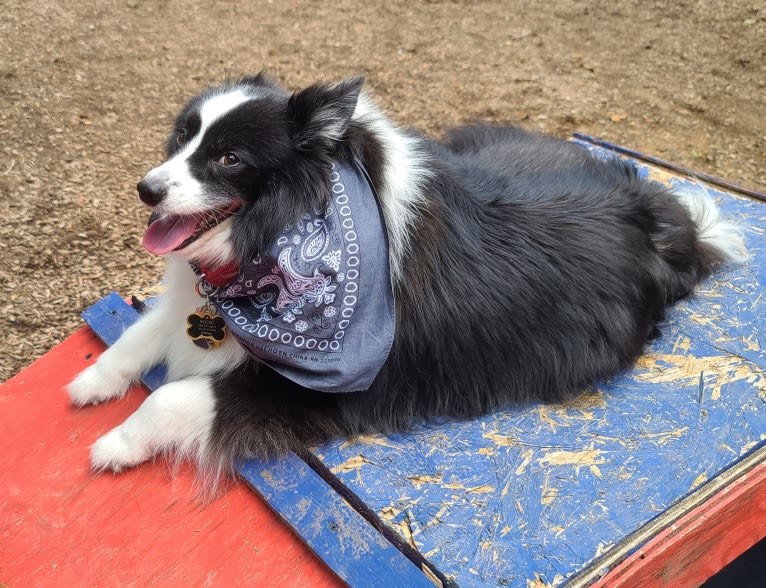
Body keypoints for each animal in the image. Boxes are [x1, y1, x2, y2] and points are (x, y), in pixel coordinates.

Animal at [69, 72, 748, 482]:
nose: (146, 189)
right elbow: (142, 331)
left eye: (228, 158)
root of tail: (655, 217)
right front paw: (92, 382)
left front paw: (115, 446)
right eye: (181, 138)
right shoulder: (187, 304)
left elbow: (173, 394)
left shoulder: (321, 387)